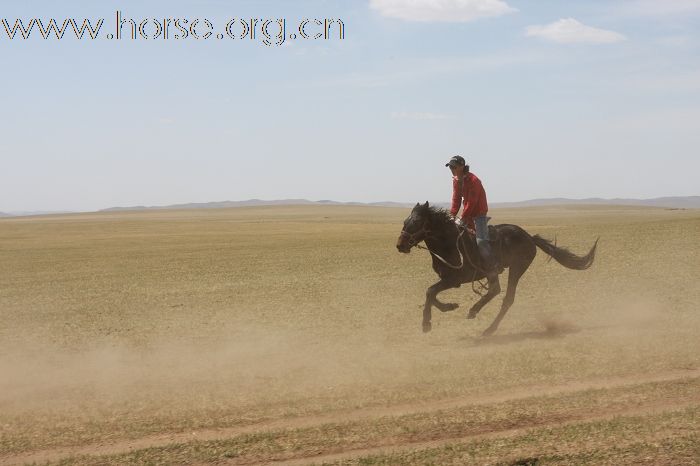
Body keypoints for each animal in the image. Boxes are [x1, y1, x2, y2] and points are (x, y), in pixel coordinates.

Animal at [396, 200, 600, 334]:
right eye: (405, 221)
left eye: (416, 222)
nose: (400, 245)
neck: (449, 243)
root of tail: (529, 237)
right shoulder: (448, 279)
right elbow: (431, 293)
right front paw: (449, 307)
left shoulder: (456, 279)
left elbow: (430, 291)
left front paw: (426, 323)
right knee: (496, 291)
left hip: (516, 268)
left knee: (504, 295)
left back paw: (484, 322)